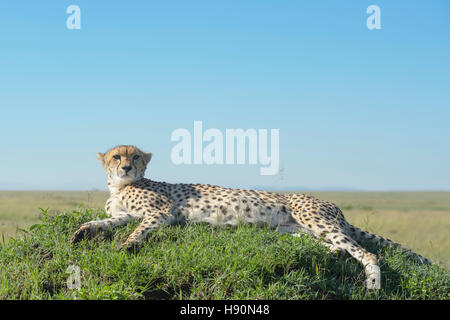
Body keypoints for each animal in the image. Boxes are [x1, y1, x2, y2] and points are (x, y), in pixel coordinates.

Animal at [72, 145, 430, 290]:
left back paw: (372, 281)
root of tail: (331, 204)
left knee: (365, 252)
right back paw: (327, 254)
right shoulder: (126, 214)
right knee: (333, 246)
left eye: (135, 157)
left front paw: (125, 247)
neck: (119, 187)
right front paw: (82, 231)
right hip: (295, 229)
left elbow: (137, 230)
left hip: (316, 219)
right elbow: (106, 222)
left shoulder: (160, 213)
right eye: (116, 157)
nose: (125, 167)